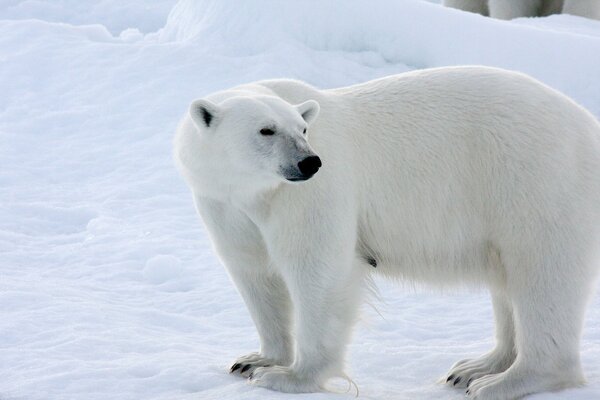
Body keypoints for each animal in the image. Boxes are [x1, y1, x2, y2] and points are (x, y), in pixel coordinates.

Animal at [173, 67, 600, 398]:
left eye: (304, 129)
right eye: (266, 130)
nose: (309, 162)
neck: (255, 191)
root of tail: (589, 126)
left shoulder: (312, 195)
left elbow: (318, 271)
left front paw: (288, 377)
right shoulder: (224, 204)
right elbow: (255, 274)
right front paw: (254, 360)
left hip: (537, 181)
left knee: (542, 276)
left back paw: (504, 382)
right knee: (508, 279)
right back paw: (475, 367)